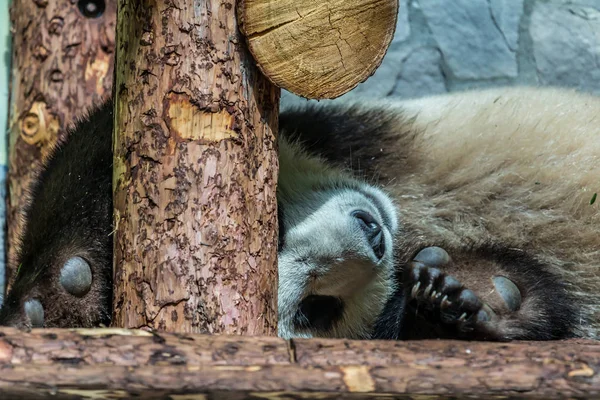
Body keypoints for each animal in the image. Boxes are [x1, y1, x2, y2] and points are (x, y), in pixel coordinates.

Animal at [1, 86, 600, 342]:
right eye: (317, 308)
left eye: (275, 226)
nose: (372, 238)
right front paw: (63, 295)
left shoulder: (340, 132)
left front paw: (473, 291)